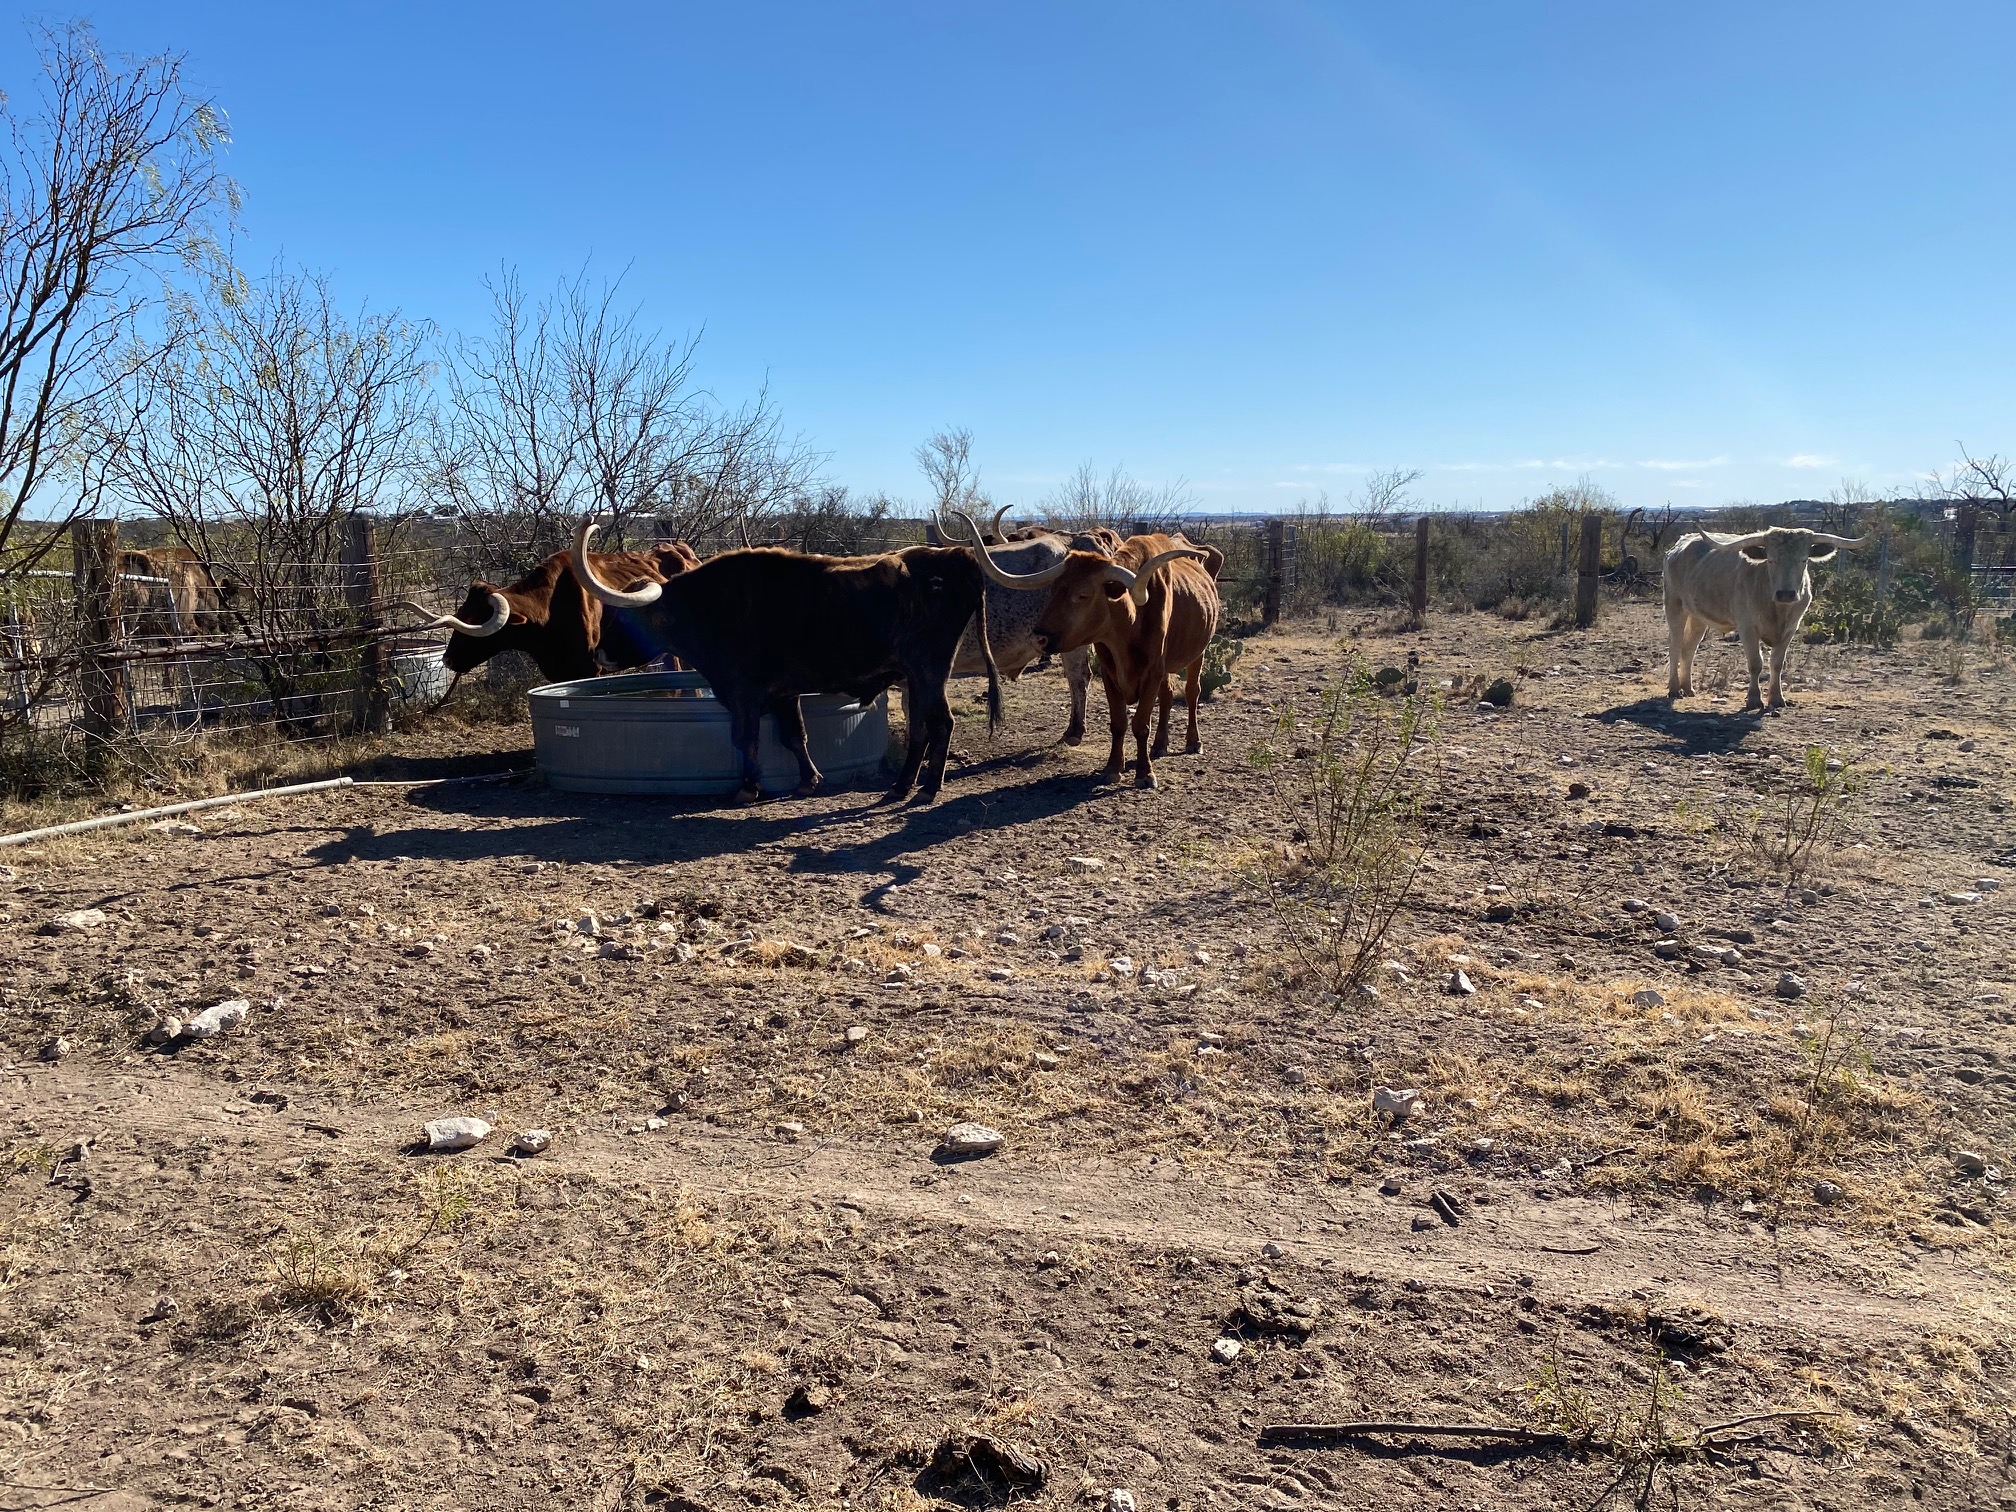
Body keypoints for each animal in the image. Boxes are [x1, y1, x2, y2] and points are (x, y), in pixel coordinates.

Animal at [569, 517, 999, 804]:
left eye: (623, 617)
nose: (598, 652)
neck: (707, 606)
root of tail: (956, 557)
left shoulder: (743, 691)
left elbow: (745, 738)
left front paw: (748, 788)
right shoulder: (783, 693)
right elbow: (794, 736)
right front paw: (808, 781)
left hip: (929, 671)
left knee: (941, 723)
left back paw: (928, 788)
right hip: (916, 677)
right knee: (921, 728)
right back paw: (902, 785)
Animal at [944, 510, 1215, 789]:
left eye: (1083, 595)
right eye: (1053, 590)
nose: (1038, 638)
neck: (1131, 620)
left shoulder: (1152, 671)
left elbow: (1140, 723)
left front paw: (1144, 773)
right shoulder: (1111, 671)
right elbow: (1119, 721)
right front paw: (1113, 768)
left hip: (1195, 655)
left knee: (1190, 692)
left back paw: (1191, 741)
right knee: (1168, 694)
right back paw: (1159, 745)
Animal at [1663, 527, 1865, 712]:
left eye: (1804, 560)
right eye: (1771, 559)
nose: (1786, 594)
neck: (1777, 609)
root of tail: (1679, 545)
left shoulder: (1790, 629)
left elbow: (1777, 663)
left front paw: (1776, 698)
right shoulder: (1747, 628)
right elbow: (1755, 663)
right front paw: (1754, 699)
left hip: (1698, 616)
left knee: (1689, 648)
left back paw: (1688, 688)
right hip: (1674, 605)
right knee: (1675, 646)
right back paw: (1674, 689)